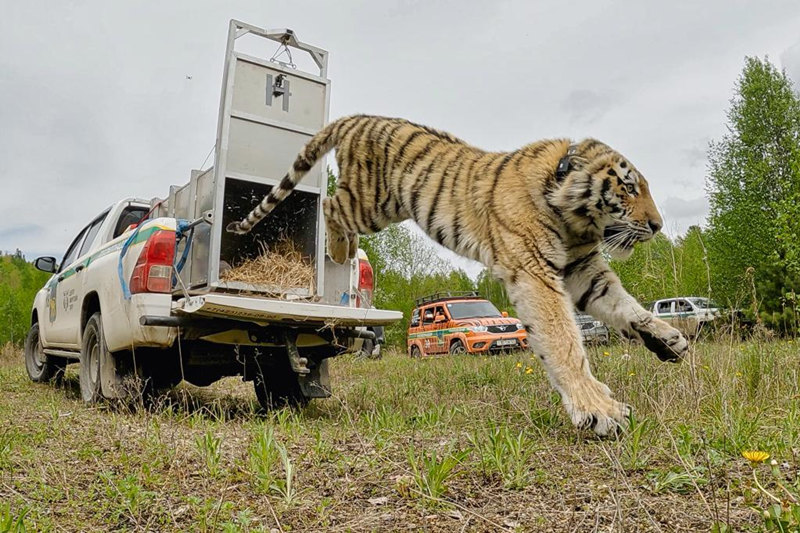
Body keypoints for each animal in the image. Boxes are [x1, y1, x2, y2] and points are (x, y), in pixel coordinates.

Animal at [223, 114, 688, 434]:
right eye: (629, 188)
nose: (658, 225)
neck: (573, 216)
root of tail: (358, 117)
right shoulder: (535, 270)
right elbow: (563, 339)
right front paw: (599, 410)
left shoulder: (583, 269)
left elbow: (626, 307)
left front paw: (668, 339)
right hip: (372, 200)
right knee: (329, 205)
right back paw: (340, 249)